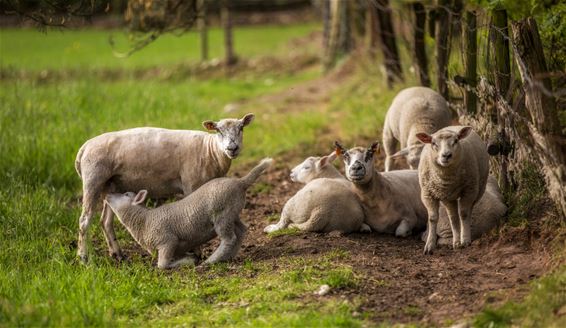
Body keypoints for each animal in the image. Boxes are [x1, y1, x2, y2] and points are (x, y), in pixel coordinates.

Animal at [75, 113, 255, 262]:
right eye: (218, 131)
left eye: (241, 128)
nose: (232, 148)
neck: (210, 150)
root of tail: (84, 148)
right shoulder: (191, 184)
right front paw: (197, 252)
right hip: (93, 179)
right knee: (84, 220)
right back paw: (83, 258)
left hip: (111, 184)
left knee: (105, 221)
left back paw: (117, 254)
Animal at [106, 159, 276, 270]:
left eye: (126, 194)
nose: (107, 195)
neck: (144, 221)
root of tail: (240, 183)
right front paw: (190, 258)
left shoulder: (167, 241)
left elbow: (162, 265)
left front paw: (189, 261)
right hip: (232, 213)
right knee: (241, 231)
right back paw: (227, 257)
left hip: (222, 215)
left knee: (229, 239)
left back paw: (210, 261)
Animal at [418, 125, 492, 254]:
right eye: (433, 143)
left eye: (456, 141)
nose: (446, 155)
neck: (446, 177)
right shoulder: (427, 194)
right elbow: (432, 218)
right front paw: (429, 245)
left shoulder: (469, 190)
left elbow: (464, 214)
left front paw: (465, 240)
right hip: (448, 197)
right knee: (453, 217)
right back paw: (456, 242)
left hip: (478, 190)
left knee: (467, 212)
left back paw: (462, 238)